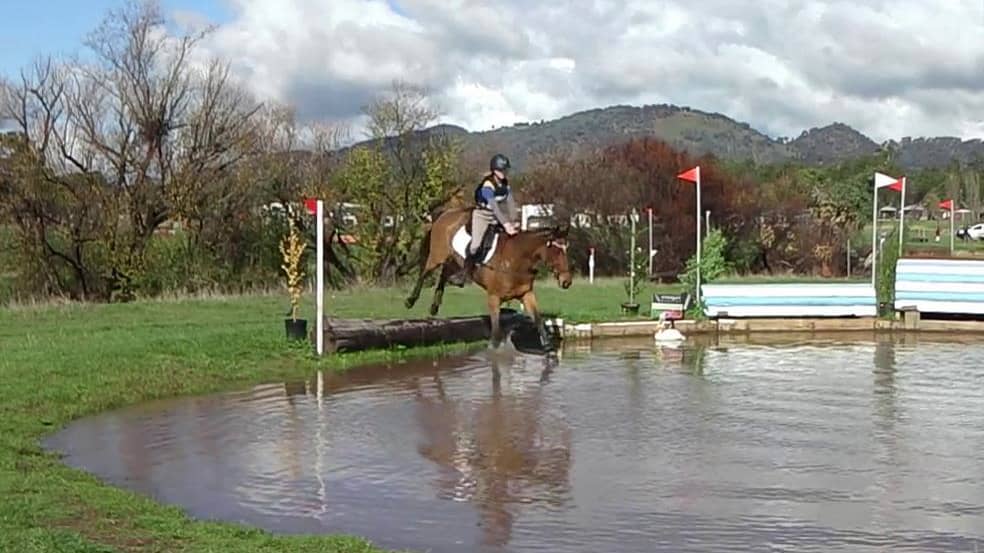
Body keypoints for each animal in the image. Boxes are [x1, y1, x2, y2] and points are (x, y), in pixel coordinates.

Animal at [404, 206, 573, 349]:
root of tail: (446, 213)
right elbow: (496, 331)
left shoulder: (526, 294)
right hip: (437, 255)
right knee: (424, 273)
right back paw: (410, 301)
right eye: (557, 251)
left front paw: (548, 345)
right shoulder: (493, 298)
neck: (516, 260)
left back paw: (435, 306)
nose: (566, 281)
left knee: (444, 274)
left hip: (455, 261)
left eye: (566, 249)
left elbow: (538, 318)